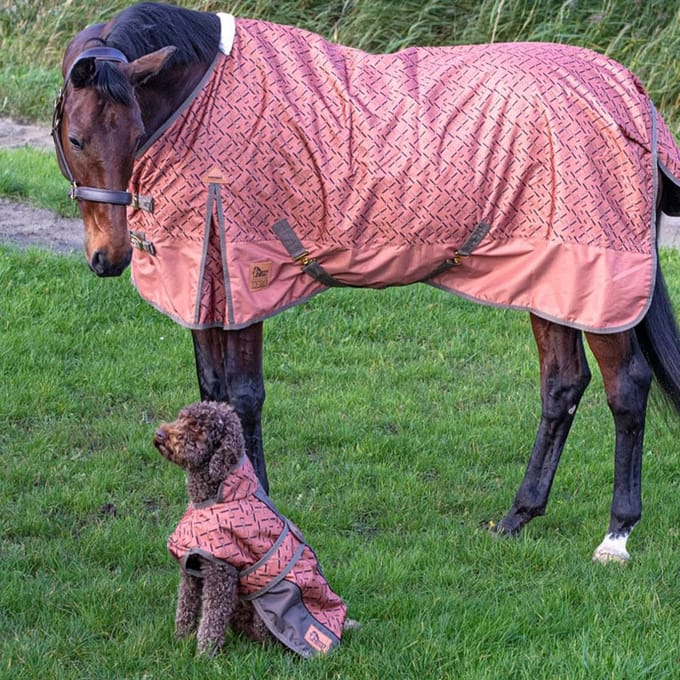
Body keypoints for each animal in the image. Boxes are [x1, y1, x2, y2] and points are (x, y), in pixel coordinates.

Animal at [53, 2, 680, 564]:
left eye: (134, 130)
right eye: (78, 138)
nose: (108, 257)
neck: (201, 95)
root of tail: (631, 95)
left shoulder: (244, 280)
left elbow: (244, 397)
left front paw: (261, 510)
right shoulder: (204, 286)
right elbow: (212, 396)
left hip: (600, 286)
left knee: (626, 388)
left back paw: (616, 536)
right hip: (555, 282)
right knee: (562, 387)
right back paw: (516, 518)